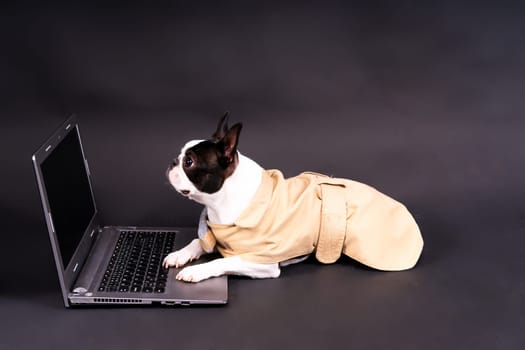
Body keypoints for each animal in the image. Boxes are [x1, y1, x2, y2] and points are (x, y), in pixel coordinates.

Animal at [162, 112, 424, 282]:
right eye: (180, 156)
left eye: (189, 162)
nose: (172, 161)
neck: (222, 204)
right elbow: (197, 242)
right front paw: (178, 255)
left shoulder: (263, 262)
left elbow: (223, 261)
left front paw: (196, 271)